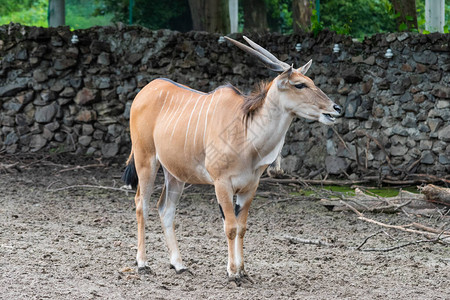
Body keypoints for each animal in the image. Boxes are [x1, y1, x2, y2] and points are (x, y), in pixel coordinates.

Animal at [123, 36, 342, 284]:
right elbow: (230, 227)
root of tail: (144, 91)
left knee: (165, 209)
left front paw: (242, 270)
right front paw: (232, 272)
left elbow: (241, 226)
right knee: (142, 203)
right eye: (300, 85)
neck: (246, 132)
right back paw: (142, 263)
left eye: (311, 81)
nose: (336, 108)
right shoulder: (222, 184)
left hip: (176, 174)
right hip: (146, 160)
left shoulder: (249, 187)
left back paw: (179, 265)